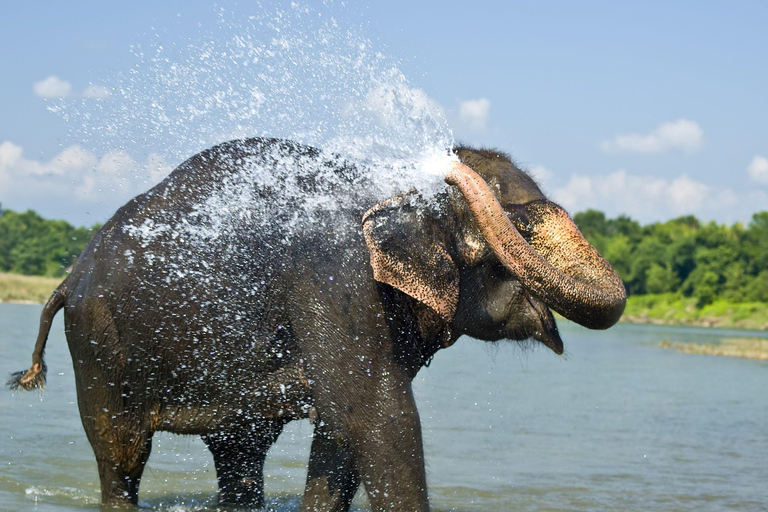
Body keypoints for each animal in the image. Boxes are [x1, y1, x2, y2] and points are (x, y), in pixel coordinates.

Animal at [9, 138, 628, 510]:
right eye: (519, 227)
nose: (451, 158)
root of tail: (67, 277)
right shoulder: (333, 280)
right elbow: (379, 420)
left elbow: (341, 432)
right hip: (100, 343)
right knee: (122, 454)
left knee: (240, 453)